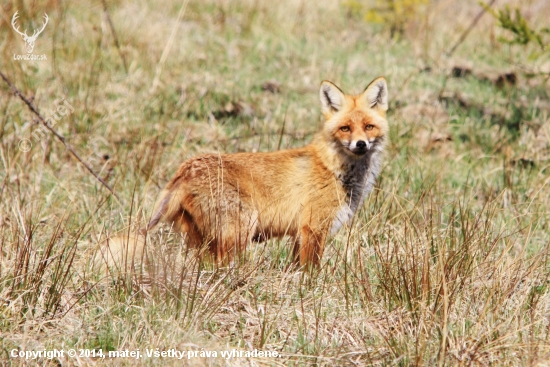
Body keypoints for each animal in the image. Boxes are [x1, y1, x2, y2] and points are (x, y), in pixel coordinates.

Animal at [144, 77, 390, 268]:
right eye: (345, 128)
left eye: (368, 127)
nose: (360, 144)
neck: (334, 169)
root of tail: (185, 168)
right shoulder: (313, 228)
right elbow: (311, 271)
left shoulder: (300, 234)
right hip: (239, 232)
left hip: (203, 241)